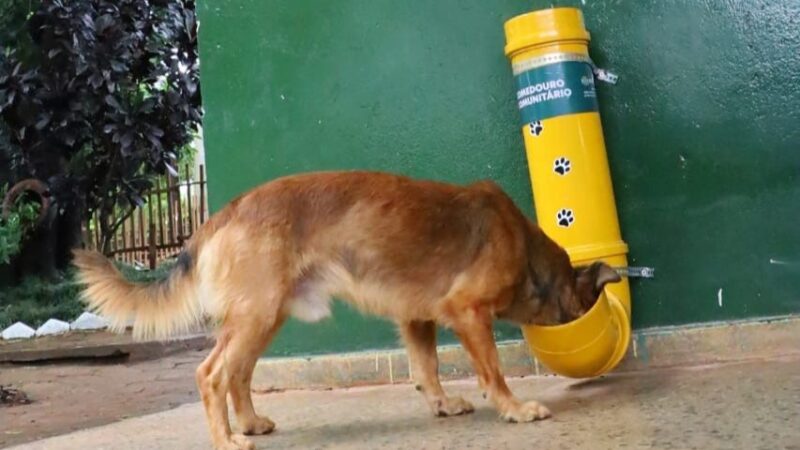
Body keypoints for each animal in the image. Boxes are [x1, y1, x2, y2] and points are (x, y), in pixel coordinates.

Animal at [73, 171, 620, 448]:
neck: (527, 251)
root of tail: (224, 212)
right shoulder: (467, 311)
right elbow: (493, 371)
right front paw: (514, 409)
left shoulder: (416, 318)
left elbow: (426, 367)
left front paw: (441, 404)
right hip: (257, 316)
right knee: (212, 374)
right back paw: (227, 440)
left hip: (265, 317)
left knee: (238, 374)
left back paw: (248, 423)